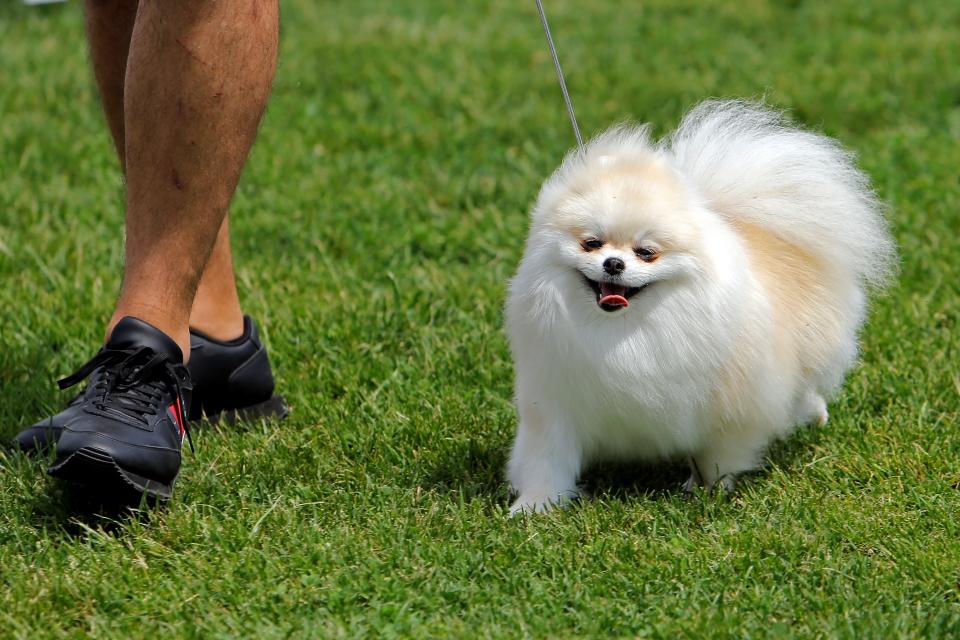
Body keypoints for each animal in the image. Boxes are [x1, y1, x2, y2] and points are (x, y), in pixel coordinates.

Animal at [506, 100, 896, 516]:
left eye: (646, 252)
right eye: (591, 244)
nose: (613, 264)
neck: (619, 333)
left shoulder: (730, 406)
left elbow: (718, 454)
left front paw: (709, 489)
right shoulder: (554, 403)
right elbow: (546, 460)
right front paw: (535, 506)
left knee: (802, 386)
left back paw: (815, 414)